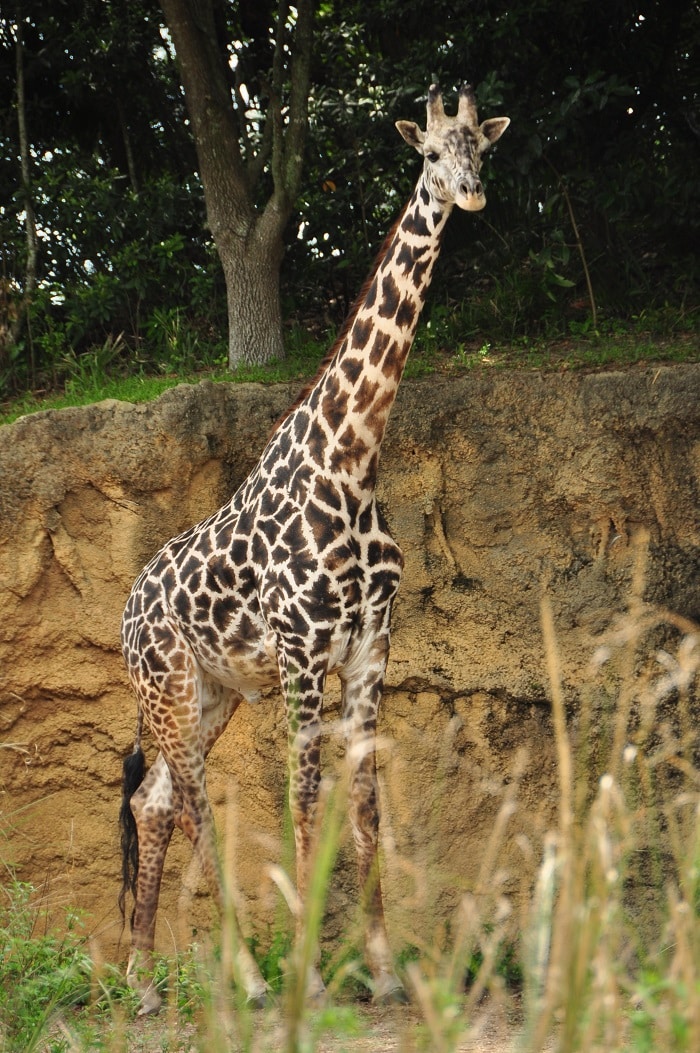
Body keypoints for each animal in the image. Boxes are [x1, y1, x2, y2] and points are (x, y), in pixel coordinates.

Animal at [119, 83, 509, 1013]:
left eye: (482, 147)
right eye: (429, 154)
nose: (470, 194)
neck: (354, 455)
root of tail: (123, 614)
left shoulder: (372, 642)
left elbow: (363, 799)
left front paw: (381, 968)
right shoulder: (301, 648)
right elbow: (302, 799)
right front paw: (308, 970)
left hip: (213, 691)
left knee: (154, 798)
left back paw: (144, 981)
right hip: (169, 684)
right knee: (188, 797)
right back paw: (245, 976)